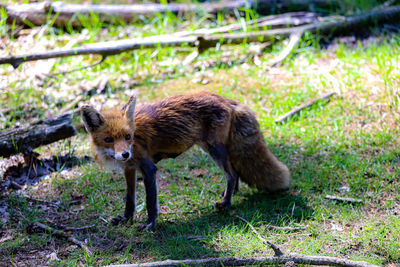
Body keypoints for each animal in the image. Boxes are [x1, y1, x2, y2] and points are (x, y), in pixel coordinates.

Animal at [81, 93, 290, 231]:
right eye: (108, 139)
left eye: (127, 136)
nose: (125, 154)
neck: (135, 139)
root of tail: (227, 100)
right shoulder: (129, 169)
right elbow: (129, 200)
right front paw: (126, 219)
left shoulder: (148, 168)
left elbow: (150, 202)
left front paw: (150, 224)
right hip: (213, 149)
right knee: (235, 171)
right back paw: (230, 195)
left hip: (214, 149)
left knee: (231, 174)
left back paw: (226, 204)